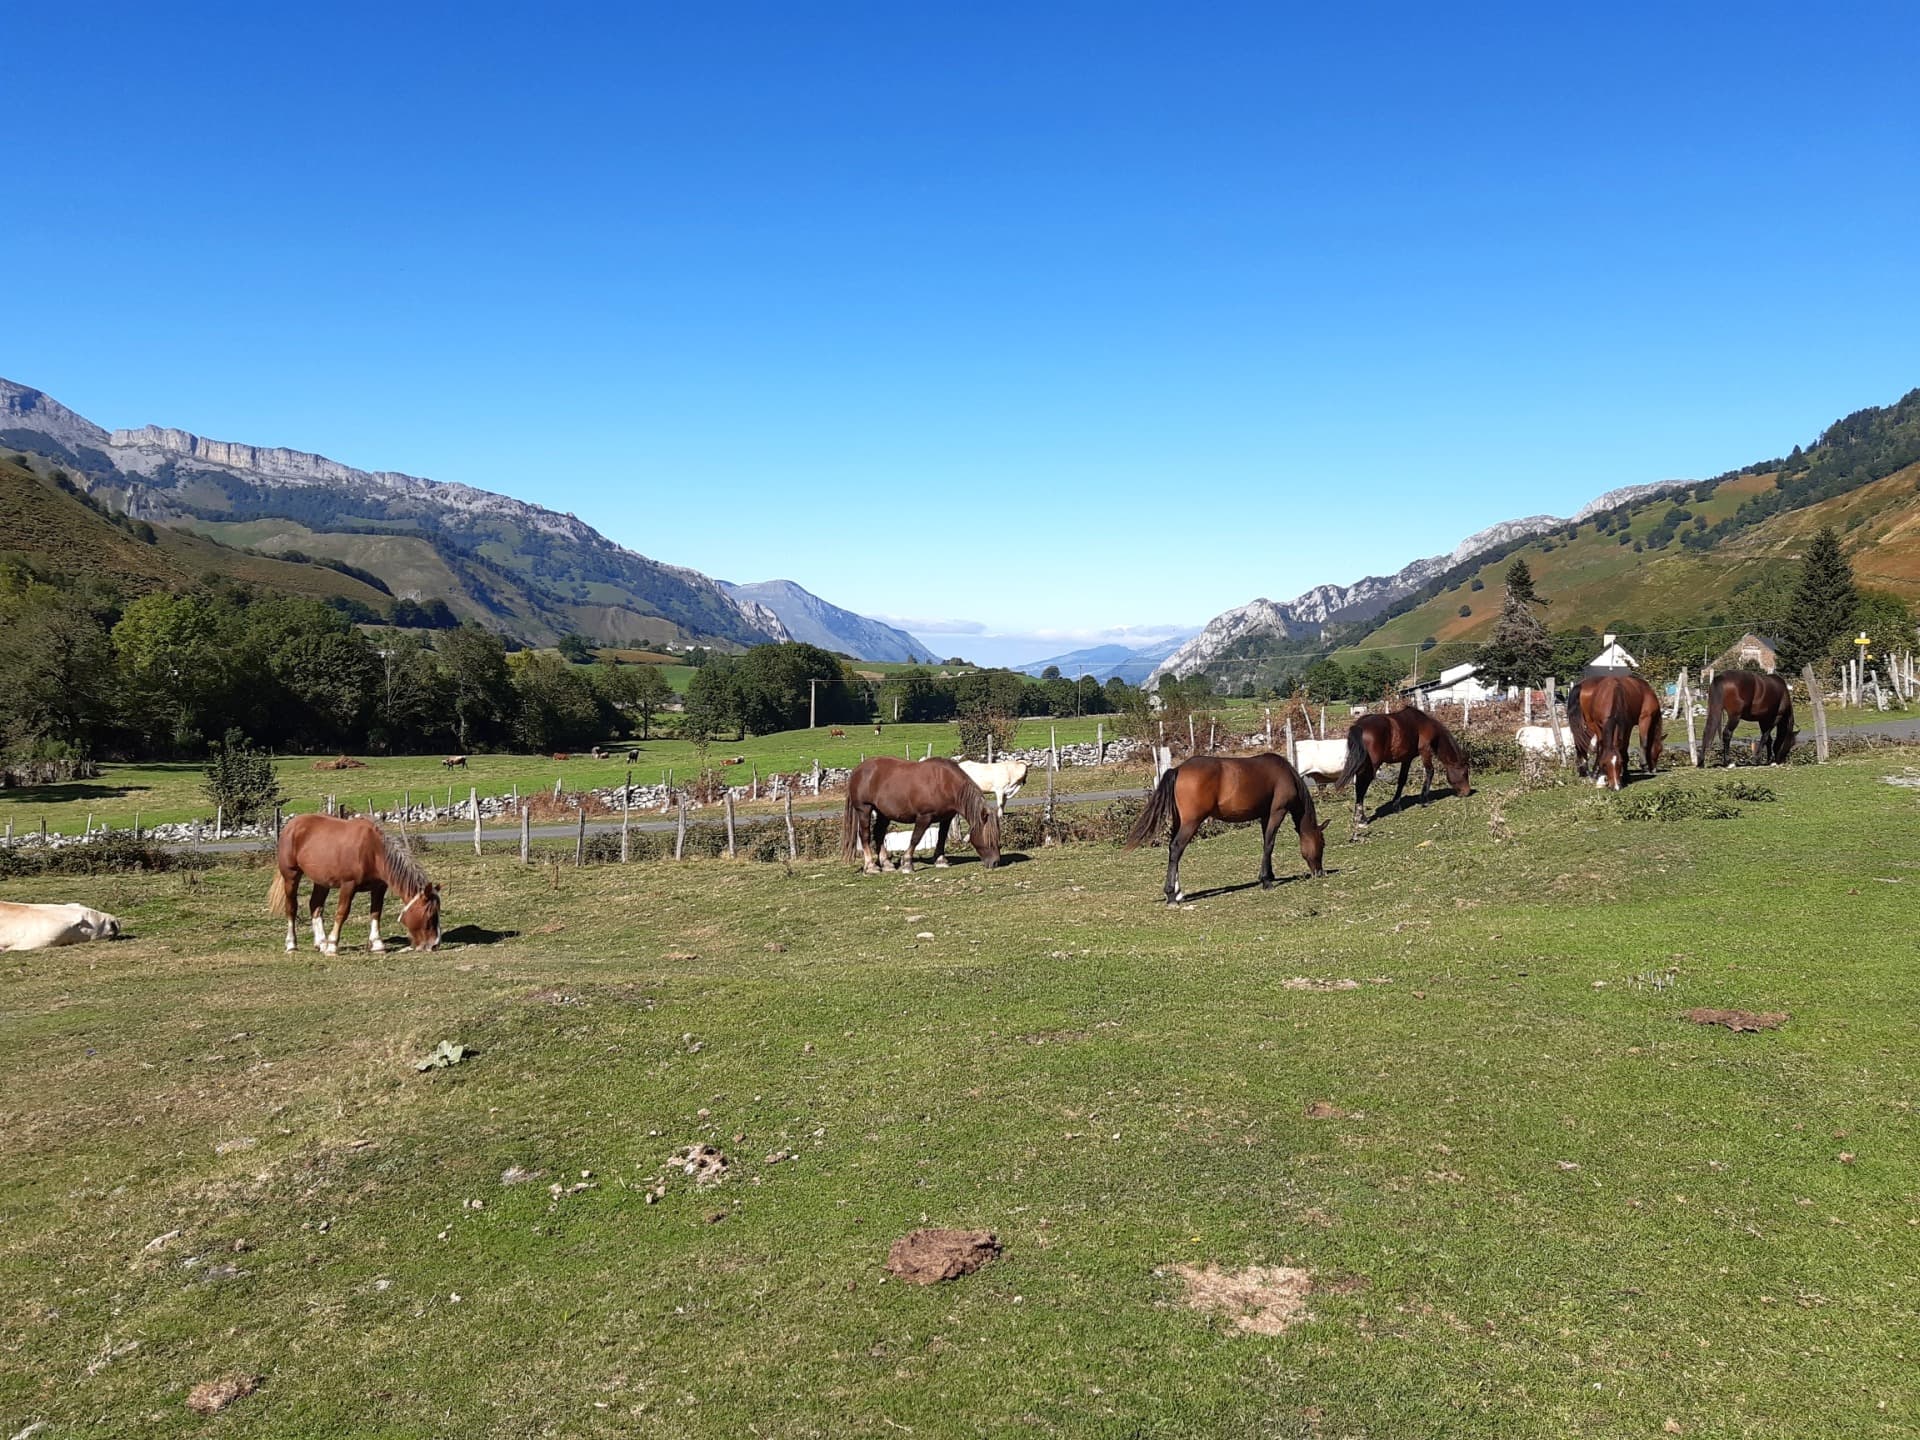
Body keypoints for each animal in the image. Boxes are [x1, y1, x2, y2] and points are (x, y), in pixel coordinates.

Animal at [269, 814, 441, 955]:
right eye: (430, 915)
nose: (435, 945)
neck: (373, 851)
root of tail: (292, 824)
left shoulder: (379, 887)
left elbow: (376, 912)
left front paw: (377, 944)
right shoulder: (348, 885)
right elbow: (342, 913)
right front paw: (333, 946)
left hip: (322, 881)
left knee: (315, 906)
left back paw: (321, 943)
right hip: (291, 876)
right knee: (291, 908)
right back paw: (292, 945)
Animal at [842, 756, 1001, 874]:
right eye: (988, 837)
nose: (995, 862)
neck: (945, 783)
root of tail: (857, 770)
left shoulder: (946, 817)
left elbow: (941, 837)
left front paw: (940, 860)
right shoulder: (924, 817)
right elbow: (915, 838)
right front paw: (907, 864)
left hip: (883, 813)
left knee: (879, 834)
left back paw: (886, 864)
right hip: (864, 809)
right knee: (865, 835)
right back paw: (871, 866)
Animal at [1123, 754, 1324, 904]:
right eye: (1323, 844)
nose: (1319, 873)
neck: (1285, 774)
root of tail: (1178, 770)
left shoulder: (1265, 815)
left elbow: (1266, 844)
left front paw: (1269, 875)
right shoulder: (1277, 811)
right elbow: (1269, 843)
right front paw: (1266, 881)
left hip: (1179, 822)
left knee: (1173, 851)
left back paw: (1179, 892)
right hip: (1191, 822)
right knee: (1176, 848)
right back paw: (1172, 894)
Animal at [1331, 709, 1470, 824]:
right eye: (1464, 773)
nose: (1467, 792)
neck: (1423, 723)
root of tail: (1360, 726)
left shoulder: (1406, 759)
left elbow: (1402, 780)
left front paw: (1396, 805)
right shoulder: (1425, 750)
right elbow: (1430, 771)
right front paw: (1424, 799)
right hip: (1372, 766)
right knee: (1362, 785)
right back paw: (1361, 818)